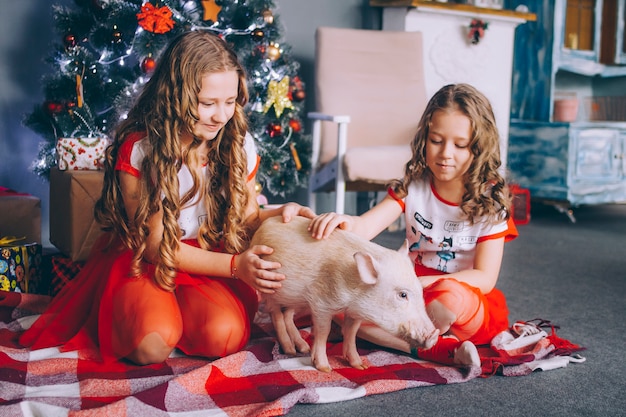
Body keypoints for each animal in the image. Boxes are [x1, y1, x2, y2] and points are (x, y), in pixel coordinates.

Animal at [250, 214, 438, 370]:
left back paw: (302, 348)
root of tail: (261, 227)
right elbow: (323, 331)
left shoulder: (355, 312)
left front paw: (360, 366)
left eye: (420, 290)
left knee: (287, 315)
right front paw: (325, 368)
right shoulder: (321, 303)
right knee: (276, 314)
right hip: (270, 286)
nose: (434, 334)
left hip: (295, 298)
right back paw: (290, 351)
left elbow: (351, 333)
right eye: (402, 295)